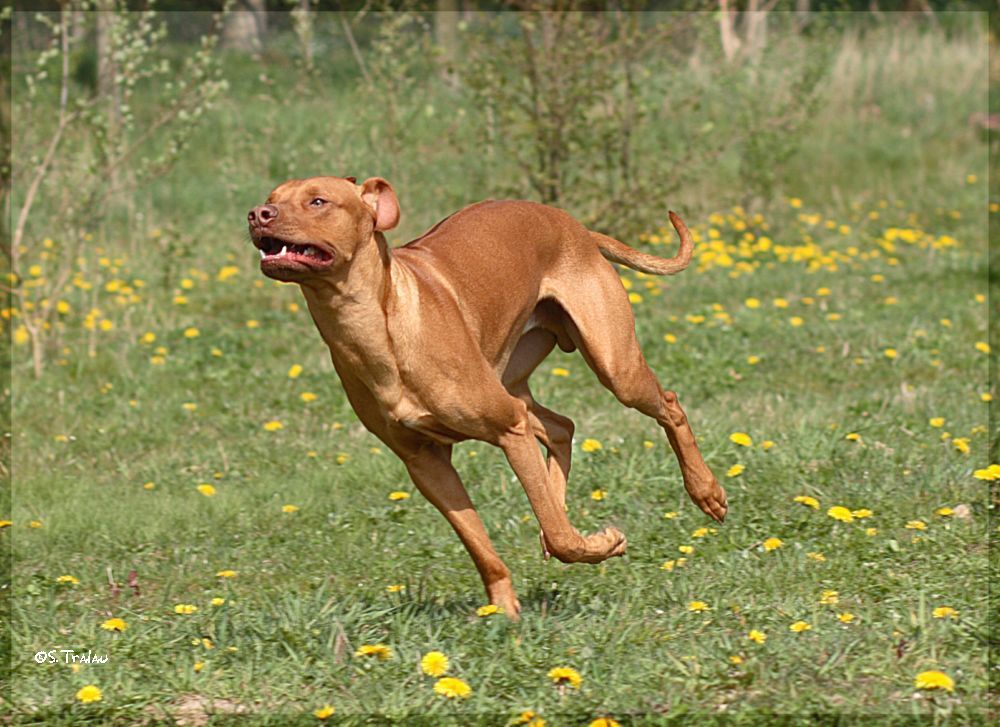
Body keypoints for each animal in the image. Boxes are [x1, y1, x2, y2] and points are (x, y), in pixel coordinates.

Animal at [245, 178, 724, 620]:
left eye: (318, 200)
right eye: (272, 196)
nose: (257, 214)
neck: (377, 328)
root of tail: (575, 227)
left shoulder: (507, 427)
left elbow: (561, 538)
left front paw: (604, 544)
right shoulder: (426, 464)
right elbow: (482, 548)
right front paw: (505, 611)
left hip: (613, 365)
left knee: (668, 405)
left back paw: (707, 492)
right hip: (515, 381)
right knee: (561, 428)